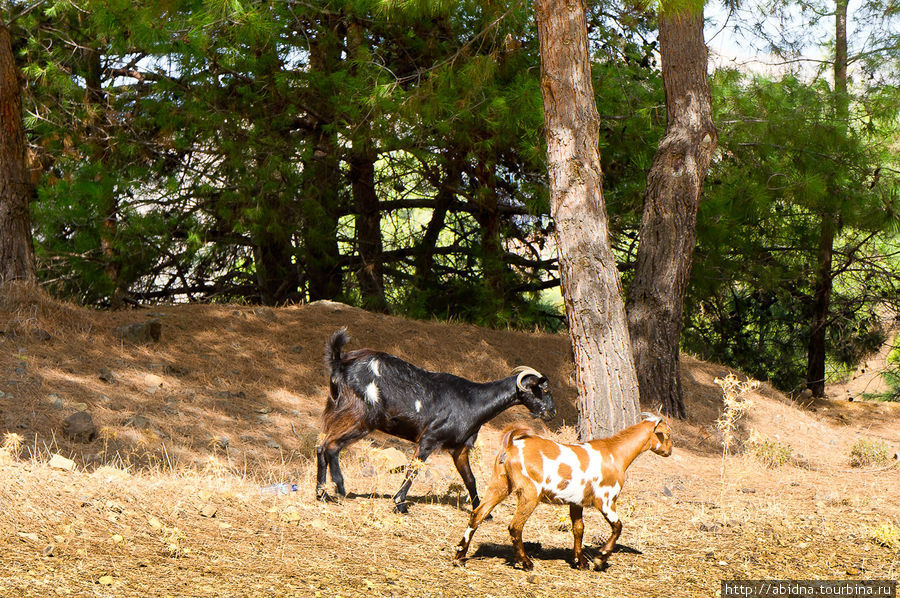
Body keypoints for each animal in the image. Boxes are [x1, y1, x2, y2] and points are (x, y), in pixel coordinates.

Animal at [316, 328, 556, 516]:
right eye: (543, 389)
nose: (551, 412)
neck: (473, 400)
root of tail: (340, 363)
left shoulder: (459, 449)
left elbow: (470, 479)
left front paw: (483, 512)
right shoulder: (429, 439)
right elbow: (413, 469)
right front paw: (399, 504)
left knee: (321, 446)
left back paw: (322, 494)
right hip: (360, 417)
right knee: (332, 446)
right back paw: (339, 487)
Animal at [458, 412, 668, 572]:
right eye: (666, 434)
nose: (669, 451)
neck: (614, 453)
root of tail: (510, 446)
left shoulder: (576, 502)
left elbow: (579, 529)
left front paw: (580, 562)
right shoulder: (606, 500)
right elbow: (618, 527)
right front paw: (600, 558)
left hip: (499, 485)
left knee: (477, 514)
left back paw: (460, 554)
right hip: (529, 493)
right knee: (515, 526)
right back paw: (526, 563)